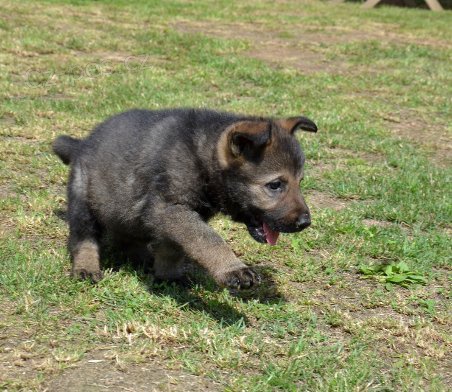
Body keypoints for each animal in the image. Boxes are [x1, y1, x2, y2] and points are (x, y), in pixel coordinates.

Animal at [53, 108, 318, 290]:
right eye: (275, 185)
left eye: (300, 181)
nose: (305, 222)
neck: (201, 158)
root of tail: (82, 145)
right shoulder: (170, 209)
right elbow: (207, 239)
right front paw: (233, 269)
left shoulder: (174, 215)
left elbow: (175, 247)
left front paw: (168, 275)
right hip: (82, 200)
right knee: (84, 238)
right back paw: (86, 268)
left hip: (120, 206)